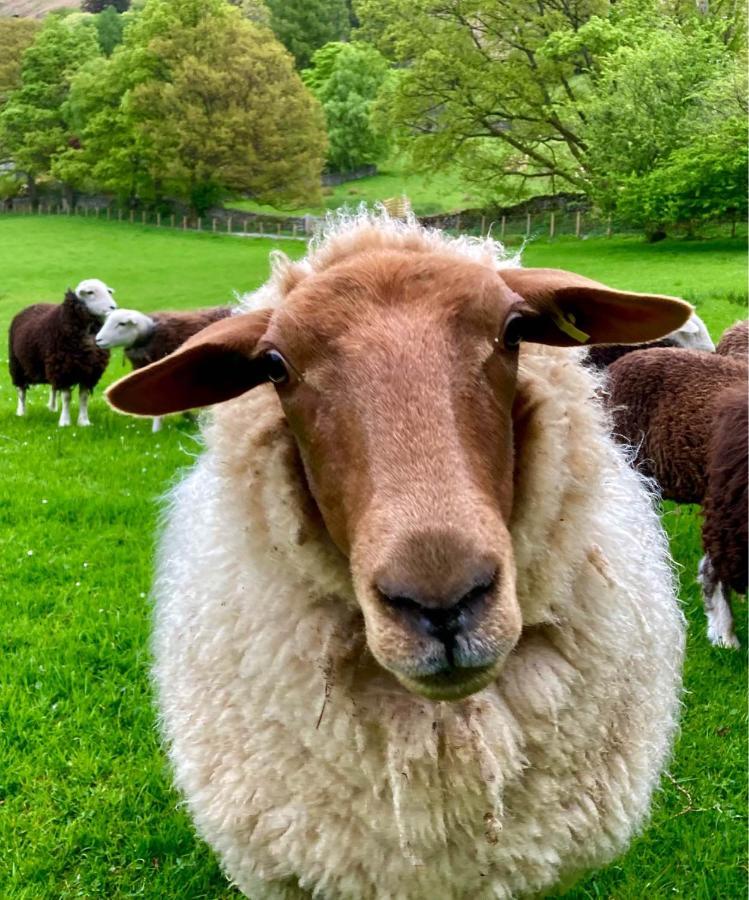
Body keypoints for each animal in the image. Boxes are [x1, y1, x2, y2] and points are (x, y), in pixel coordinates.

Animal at [8, 278, 117, 426]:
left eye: (108, 291)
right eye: (90, 292)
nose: (113, 307)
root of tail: (34, 305)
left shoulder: (89, 372)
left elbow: (83, 397)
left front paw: (84, 422)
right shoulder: (64, 370)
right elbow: (66, 397)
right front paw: (65, 422)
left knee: (53, 388)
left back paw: (52, 408)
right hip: (17, 365)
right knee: (21, 391)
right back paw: (21, 412)